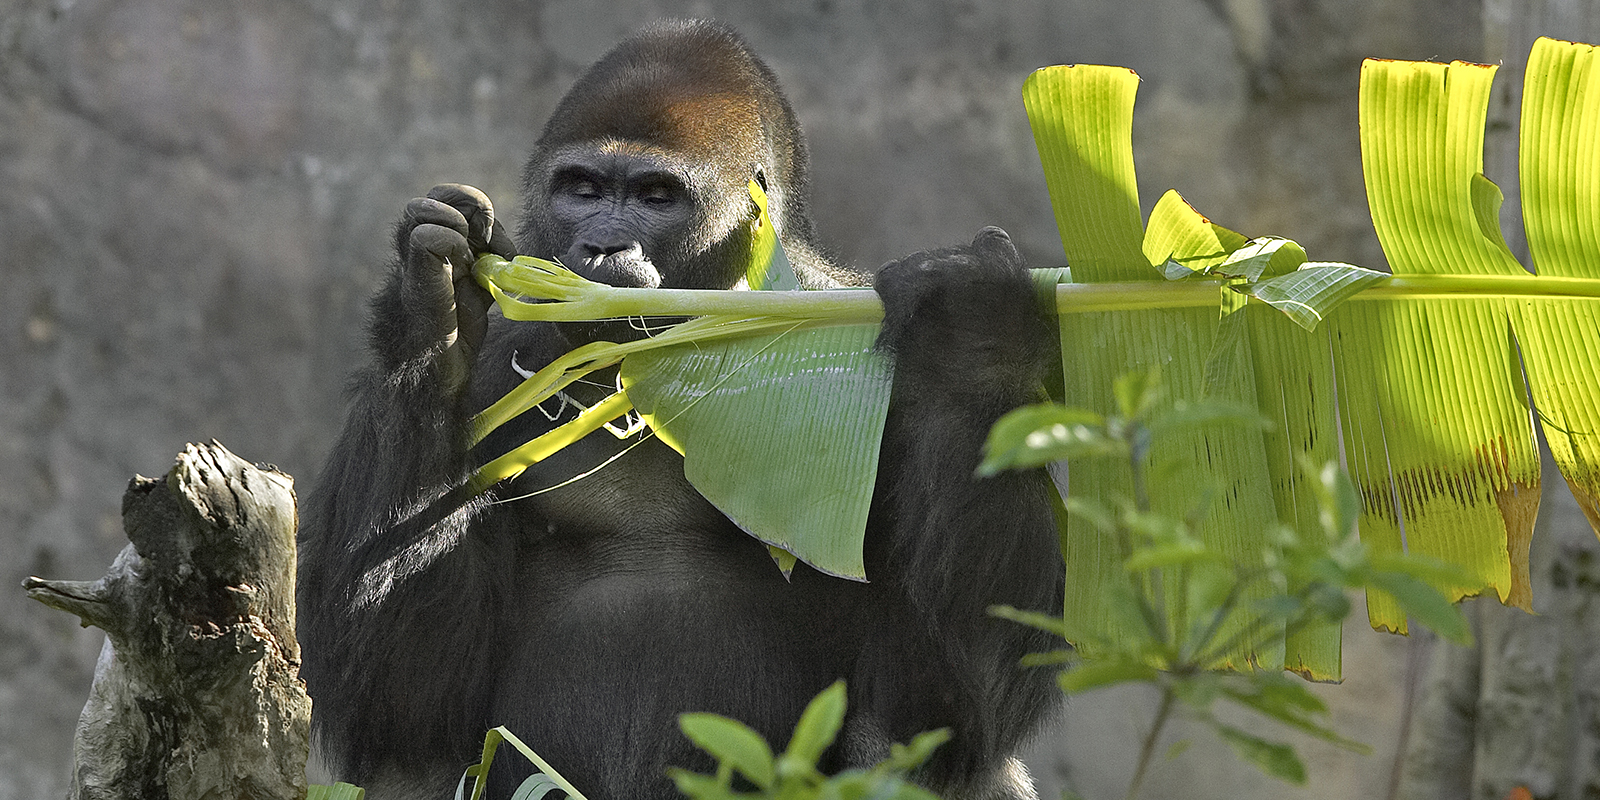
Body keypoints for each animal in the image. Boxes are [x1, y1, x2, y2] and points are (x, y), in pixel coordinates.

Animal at [302, 18, 1062, 800]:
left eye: (656, 195)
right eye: (581, 189)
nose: (602, 244)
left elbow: (949, 699)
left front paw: (975, 335)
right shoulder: (497, 366)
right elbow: (402, 700)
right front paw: (435, 308)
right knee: (420, 760)